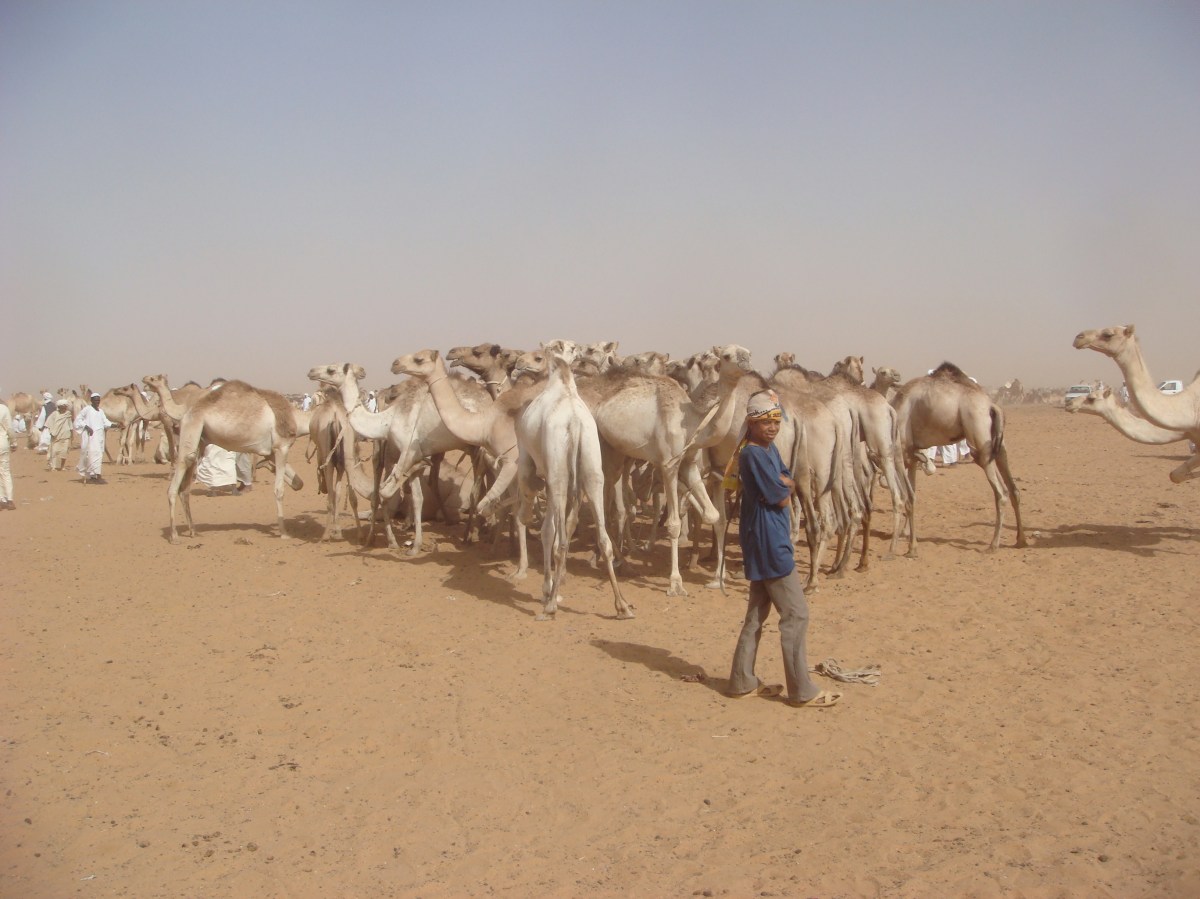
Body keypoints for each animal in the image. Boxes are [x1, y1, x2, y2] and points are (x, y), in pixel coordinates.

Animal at [165, 380, 304, 544]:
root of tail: (188, 413)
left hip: (198, 440)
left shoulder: (272, 451)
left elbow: (298, 483)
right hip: (192, 427)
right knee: (177, 478)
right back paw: (174, 535)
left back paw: (193, 530)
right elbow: (279, 490)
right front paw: (283, 532)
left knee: (185, 485)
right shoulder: (282, 447)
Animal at [514, 340, 633, 620]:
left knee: (560, 540)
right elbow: (551, 528)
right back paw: (621, 605)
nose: (517, 363)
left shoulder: (533, 464)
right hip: (592, 471)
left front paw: (547, 589)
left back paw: (550, 607)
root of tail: (575, 423)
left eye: (538, 357)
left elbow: (547, 529)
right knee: (603, 537)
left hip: (558, 475)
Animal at [892, 363, 1026, 555]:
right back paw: (1021, 540)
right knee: (1014, 489)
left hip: (979, 438)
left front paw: (911, 547)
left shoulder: (901, 453)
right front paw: (906, 533)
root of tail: (991, 406)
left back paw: (993, 545)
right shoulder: (912, 457)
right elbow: (913, 493)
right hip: (998, 445)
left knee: (1001, 493)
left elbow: (907, 496)